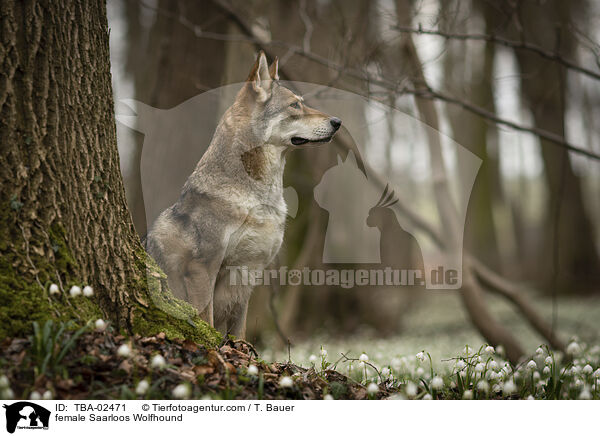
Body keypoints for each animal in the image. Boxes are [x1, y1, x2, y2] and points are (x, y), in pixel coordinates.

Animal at [145, 51, 340, 338]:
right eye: (295, 105)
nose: (338, 122)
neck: (260, 197)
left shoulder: (248, 278)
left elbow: (240, 334)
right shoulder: (202, 270)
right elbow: (207, 322)